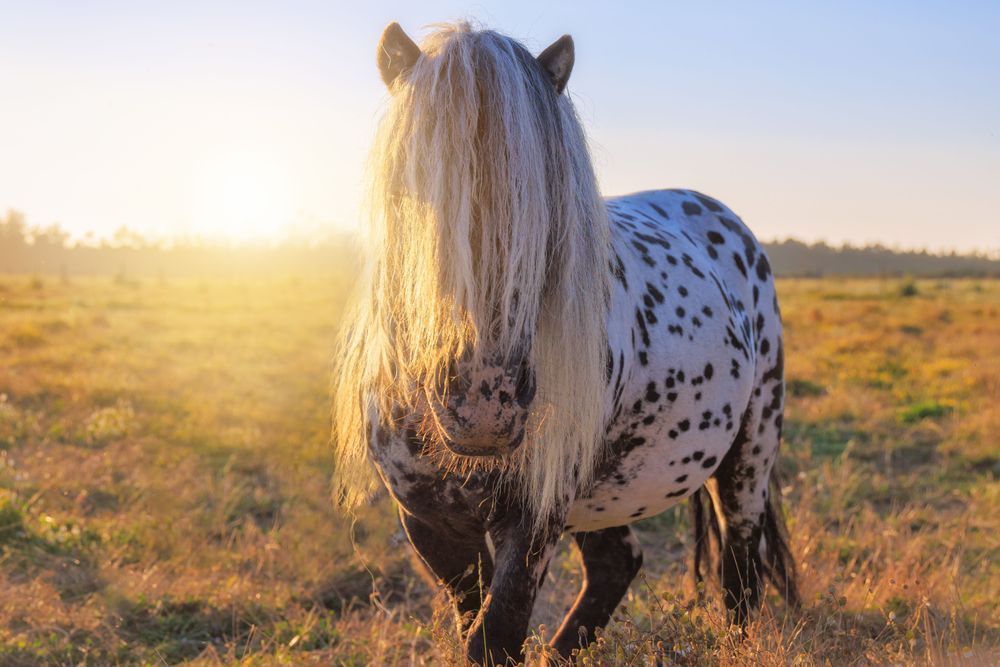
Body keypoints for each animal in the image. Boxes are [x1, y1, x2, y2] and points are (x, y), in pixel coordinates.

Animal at [332, 21, 799, 665]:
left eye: (551, 198)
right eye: (410, 185)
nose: (484, 404)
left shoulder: (533, 518)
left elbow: (496, 634)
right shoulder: (429, 522)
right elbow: (476, 623)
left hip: (750, 451)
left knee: (738, 569)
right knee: (617, 562)